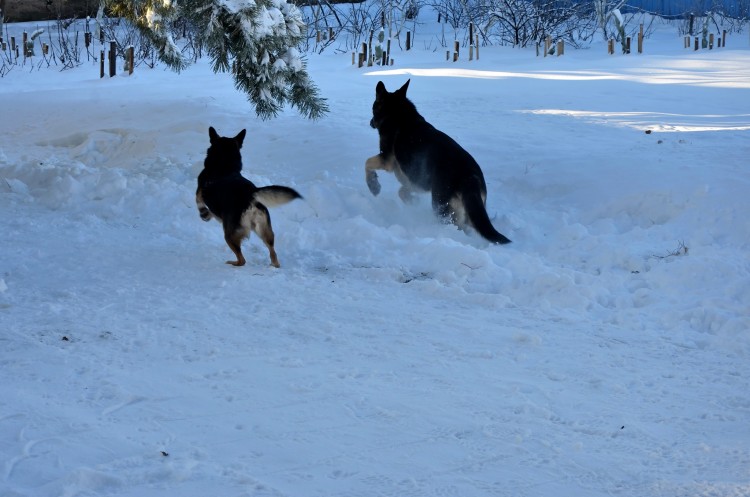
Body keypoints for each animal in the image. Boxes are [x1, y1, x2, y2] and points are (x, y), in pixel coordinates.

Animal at [197, 128, 302, 268]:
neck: (224, 166)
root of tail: (250, 195)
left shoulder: (200, 191)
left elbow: (199, 202)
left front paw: (204, 214)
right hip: (265, 231)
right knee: (273, 253)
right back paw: (274, 265)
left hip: (229, 234)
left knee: (242, 260)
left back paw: (233, 263)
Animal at [368, 78, 516, 246]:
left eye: (373, 108)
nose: (370, 122)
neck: (399, 113)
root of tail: (470, 176)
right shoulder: (417, 180)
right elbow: (402, 192)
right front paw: (413, 201)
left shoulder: (387, 160)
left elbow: (367, 163)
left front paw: (373, 186)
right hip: (469, 210)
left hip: (440, 206)